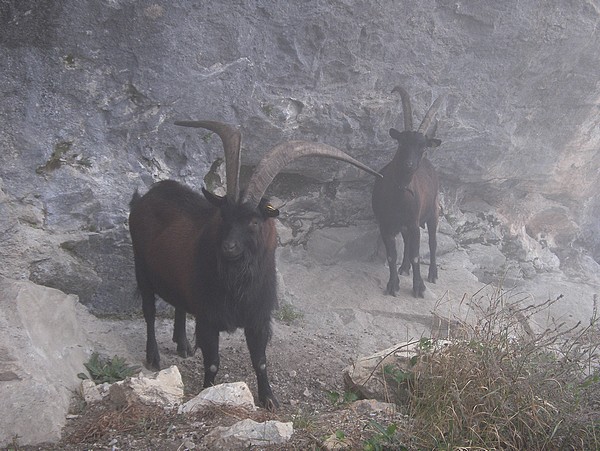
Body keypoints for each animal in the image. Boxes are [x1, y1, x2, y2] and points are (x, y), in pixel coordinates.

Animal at [127, 122, 380, 412]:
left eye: (254, 221)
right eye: (223, 216)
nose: (228, 247)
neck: (238, 284)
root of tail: (144, 197)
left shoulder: (258, 318)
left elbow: (260, 361)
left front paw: (270, 399)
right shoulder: (208, 318)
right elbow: (212, 362)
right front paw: (207, 393)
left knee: (178, 305)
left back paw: (183, 345)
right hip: (141, 267)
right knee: (149, 311)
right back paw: (154, 357)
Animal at [372, 87, 442, 300]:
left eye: (423, 146)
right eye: (401, 142)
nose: (409, 165)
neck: (399, 196)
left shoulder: (413, 221)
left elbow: (416, 255)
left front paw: (419, 288)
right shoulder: (385, 224)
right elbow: (391, 255)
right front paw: (392, 285)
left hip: (433, 211)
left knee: (433, 242)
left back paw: (433, 274)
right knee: (407, 242)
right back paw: (404, 268)